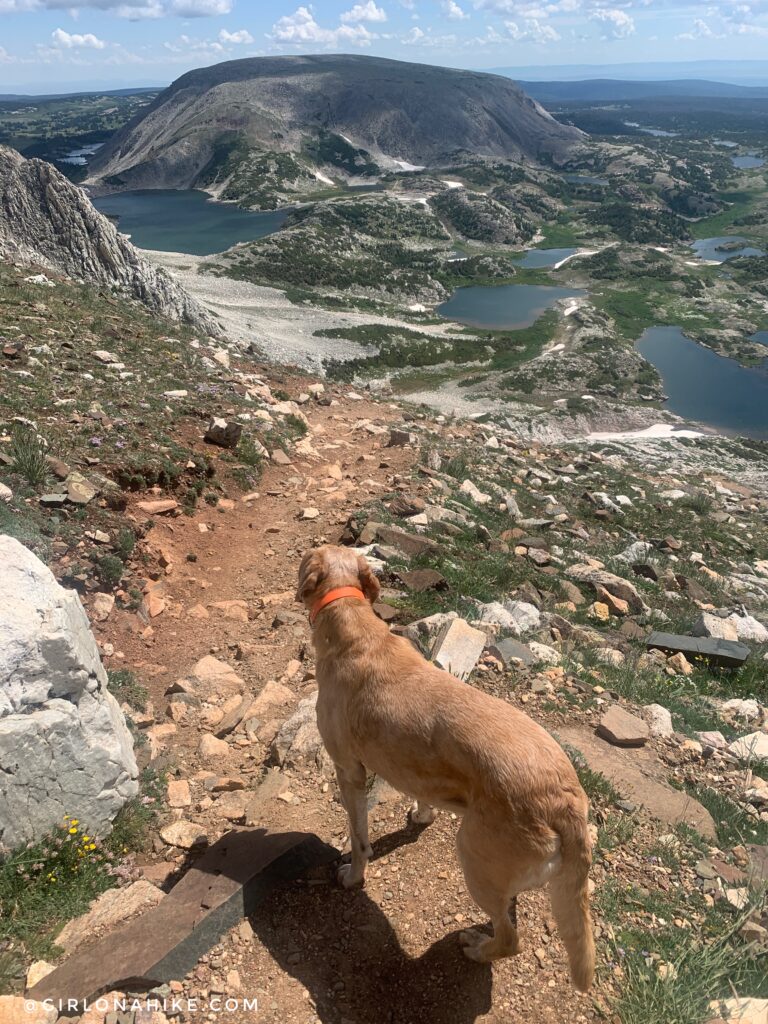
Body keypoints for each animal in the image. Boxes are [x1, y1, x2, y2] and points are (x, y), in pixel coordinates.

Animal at [296, 548, 593, 987]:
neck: (353, 620)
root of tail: (566, 798)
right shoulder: (412, 764)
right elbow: (421, 791)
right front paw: (423, 815)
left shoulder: (349, 770)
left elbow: (359, 839)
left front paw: (353, 876)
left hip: (473, 858)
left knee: (511, 940)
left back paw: (478, 948)